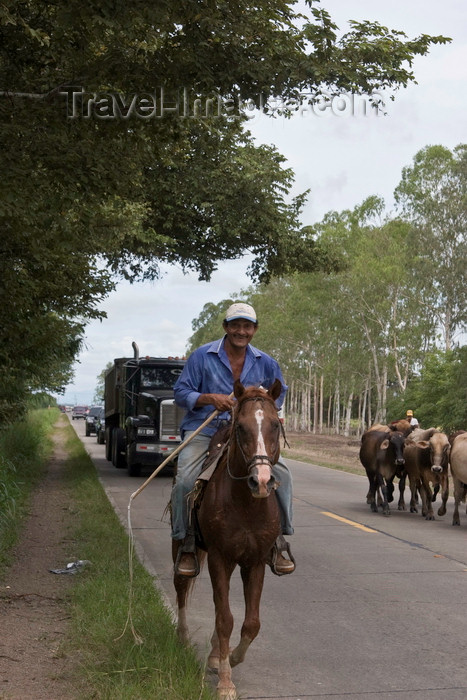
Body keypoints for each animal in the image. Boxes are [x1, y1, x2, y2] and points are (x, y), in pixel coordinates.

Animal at [172, 380, 282, 696]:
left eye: (275, 425)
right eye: (241, 427)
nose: (262, 481)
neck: (245, 504)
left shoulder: (254, 562)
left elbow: (251, 623)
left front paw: (229, 658)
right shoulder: (219, 559)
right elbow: (224, 619)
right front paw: (225, 681)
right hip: (183, 547)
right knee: (181, 586)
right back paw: (182, 637)